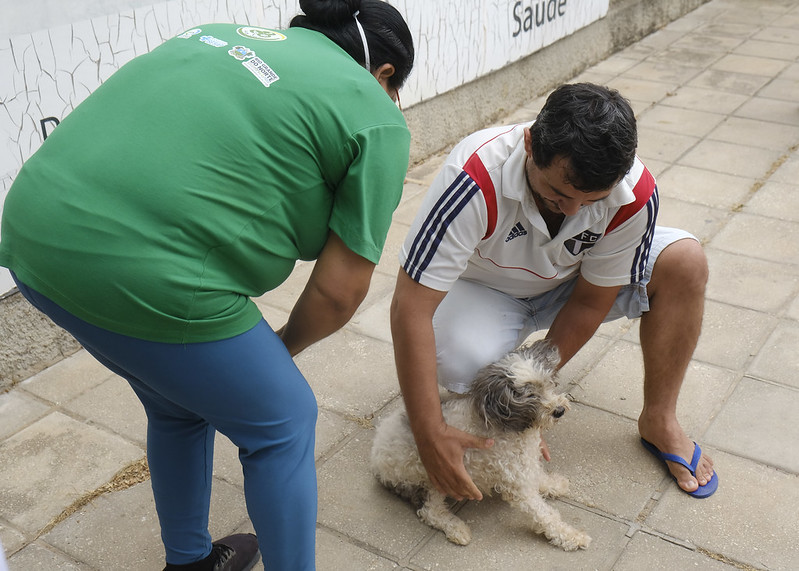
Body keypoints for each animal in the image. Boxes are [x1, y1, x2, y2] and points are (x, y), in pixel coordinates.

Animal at [372, 342, 592, 552]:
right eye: (530, 395)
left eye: (548, 384)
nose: (559, 410)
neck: (511, 426)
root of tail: (376, 461)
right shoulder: (518, 487)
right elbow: (545, 516)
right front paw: (572, 536)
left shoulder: (524, 466)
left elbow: (538, 476)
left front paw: (553, 484)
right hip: (435, 475)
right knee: (429, 511)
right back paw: (457, 529)